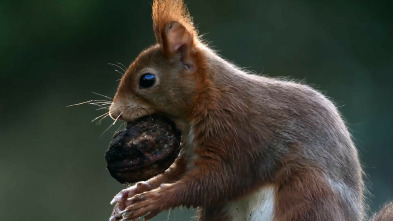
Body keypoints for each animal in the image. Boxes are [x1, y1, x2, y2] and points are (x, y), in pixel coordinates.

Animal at [107, 0, 392, 221]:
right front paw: (134, 191)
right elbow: (178, 173)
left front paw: (153, 200)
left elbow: (217, 180)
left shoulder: (238, 133)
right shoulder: (192, 152)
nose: (113, 112)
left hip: (307, 194)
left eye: (147, 80)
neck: (206, 100)